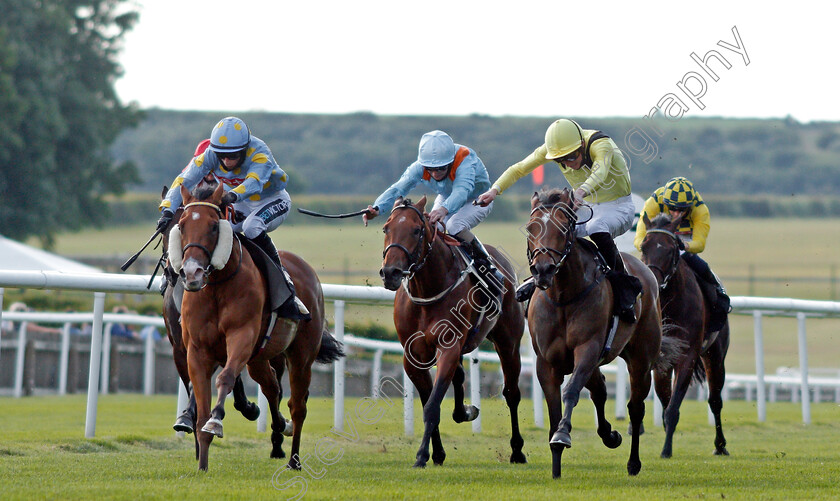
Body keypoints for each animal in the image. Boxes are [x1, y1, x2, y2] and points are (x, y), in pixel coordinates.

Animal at [172, 183, 342, 468]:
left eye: (214, 227)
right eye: (182, 225)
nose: (192, 272)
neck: (217, 286)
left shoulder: (241, 336)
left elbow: (226, 378)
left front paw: (216, 421)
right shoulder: (196, 350)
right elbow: (200, 406)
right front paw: (202, 464)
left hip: (301, 355)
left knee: (298, 405)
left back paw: (294, 459)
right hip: (259, 358)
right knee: (272, 387)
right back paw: (280, 428)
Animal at [378, 196, 524, 468]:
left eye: (417, 230)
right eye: (385, 228)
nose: (391, 272)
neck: (427, 290)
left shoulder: (448, 347)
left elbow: (432, 405)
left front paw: (422, 455)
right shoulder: (412, 356)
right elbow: (429, 400)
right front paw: (436, 452)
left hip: (508, 342)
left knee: (511, 393)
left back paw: (517, 451)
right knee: (459, 376)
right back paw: (464, 411)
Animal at [528, 187, 680, 476]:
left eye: (563, 227)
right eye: (531, 228)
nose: (543, 269)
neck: (564, 295)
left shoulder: (588, 348)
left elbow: (571, 391)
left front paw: (563, 435)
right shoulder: (546, 362)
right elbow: (554, 408)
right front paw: (556, 464)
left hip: (641, 358)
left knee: (635, 407)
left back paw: (633, 462)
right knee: (599, 389)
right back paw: (610, 435)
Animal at [644, 211, 728, 458]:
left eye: (671, 249)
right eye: (643, 246)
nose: (653, 281)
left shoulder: (688, 355)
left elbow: (673, 408)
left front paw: (666, 450)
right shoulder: (661, 359)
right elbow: (665, 402)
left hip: (715, 355)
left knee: (715, 400)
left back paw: (720, 445)